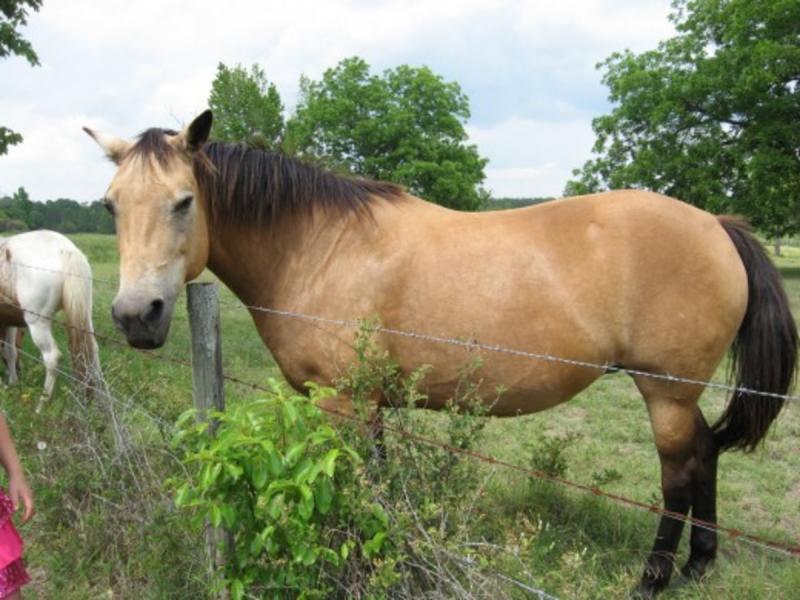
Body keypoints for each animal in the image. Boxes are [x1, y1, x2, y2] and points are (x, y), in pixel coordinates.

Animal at [0, 230, 104, 408]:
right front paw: (13, 383)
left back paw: (41, 405)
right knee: (93, 354)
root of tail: (67, 250)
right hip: (85, 317)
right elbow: (10, 352)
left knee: (52, 358)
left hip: (38, 323)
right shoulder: (8, 322)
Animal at [84, 111, 796, 596]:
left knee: (679, 474)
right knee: (705, 455)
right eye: (111, 206)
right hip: (679, 392)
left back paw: (653, 578)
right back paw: (700, 565)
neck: (317, 246)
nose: (136, 316)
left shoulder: (344, 403)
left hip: (664, 391)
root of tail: (717, 226)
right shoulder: (367, 405)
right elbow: (373, 488)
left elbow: (351, 491)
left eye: (184, 202)